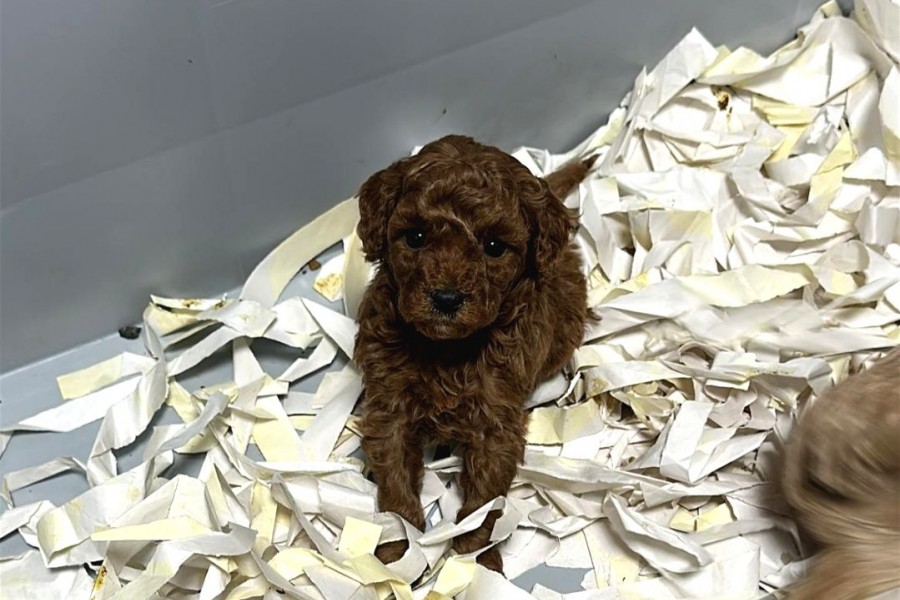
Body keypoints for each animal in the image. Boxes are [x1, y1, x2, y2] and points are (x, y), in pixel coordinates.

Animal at [353, 135, 593, 572]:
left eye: (494, 247)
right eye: (415, 237)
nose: (446, 299)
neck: (447, 350)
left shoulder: (495, 422)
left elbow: (485, 498)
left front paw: (478, 562)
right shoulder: (389, 408)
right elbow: (395, 482)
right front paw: (399, 553)